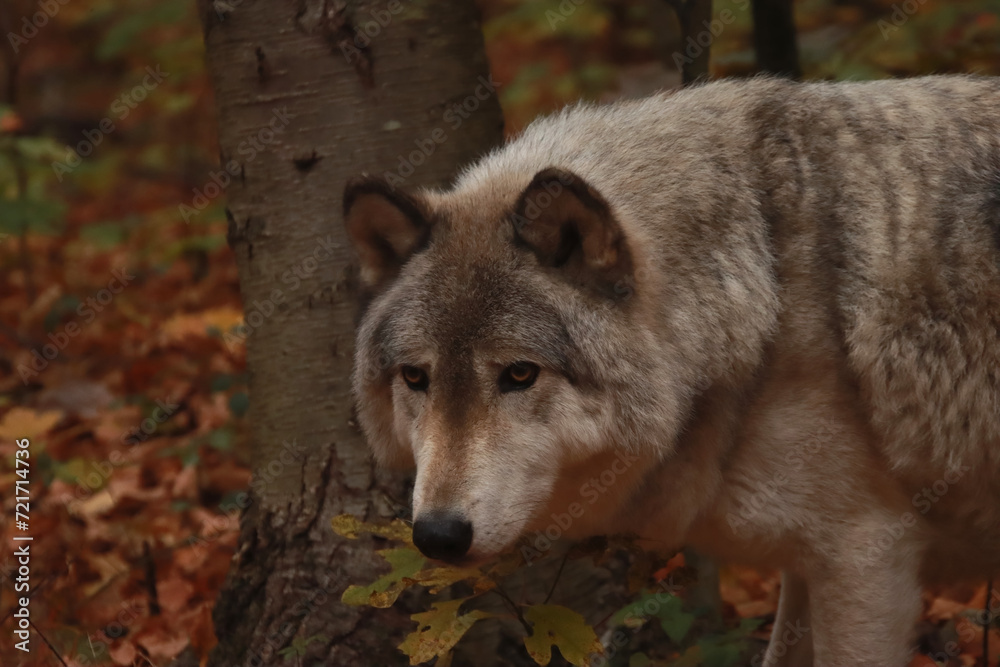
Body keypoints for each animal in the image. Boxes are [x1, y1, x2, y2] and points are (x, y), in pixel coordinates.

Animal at [343, 75, 1000, 666]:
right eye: (416, 378)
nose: (438, 535)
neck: (764, 291)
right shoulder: (812, 563)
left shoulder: (864, 555)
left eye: (520, 375)